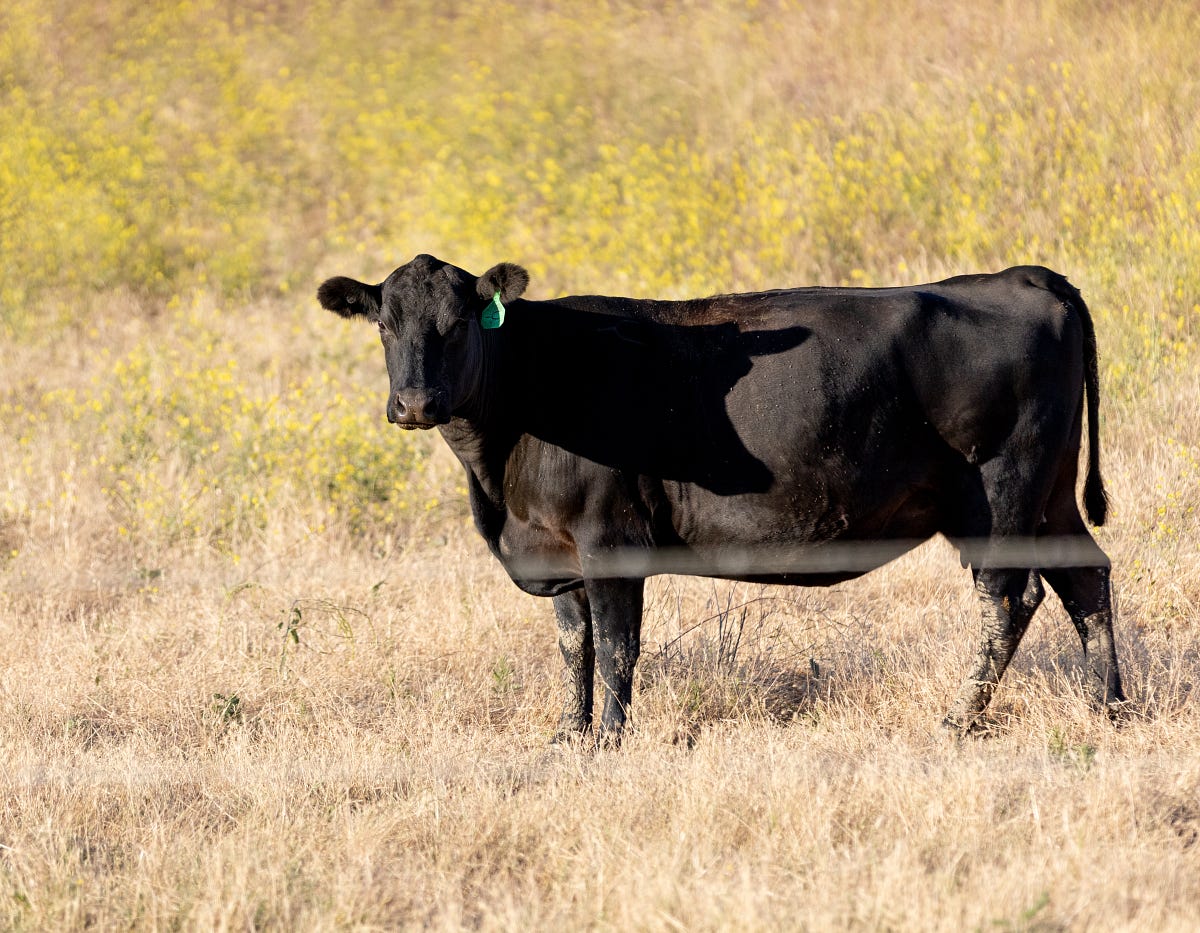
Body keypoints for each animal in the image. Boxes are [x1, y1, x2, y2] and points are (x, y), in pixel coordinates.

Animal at [318, 255, 1125, 743]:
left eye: (457, 325)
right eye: (384, 324)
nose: (414, 403)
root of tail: (1019, 275)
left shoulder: (610, 538)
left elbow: (617, 646)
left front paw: (607, 740)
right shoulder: (556, 550)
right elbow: (574, 644)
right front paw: (566, 734)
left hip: (1001, 489)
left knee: (1007, 597)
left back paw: (958, 719)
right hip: (1050, 493)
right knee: (1085, 579)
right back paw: (1109, 706)